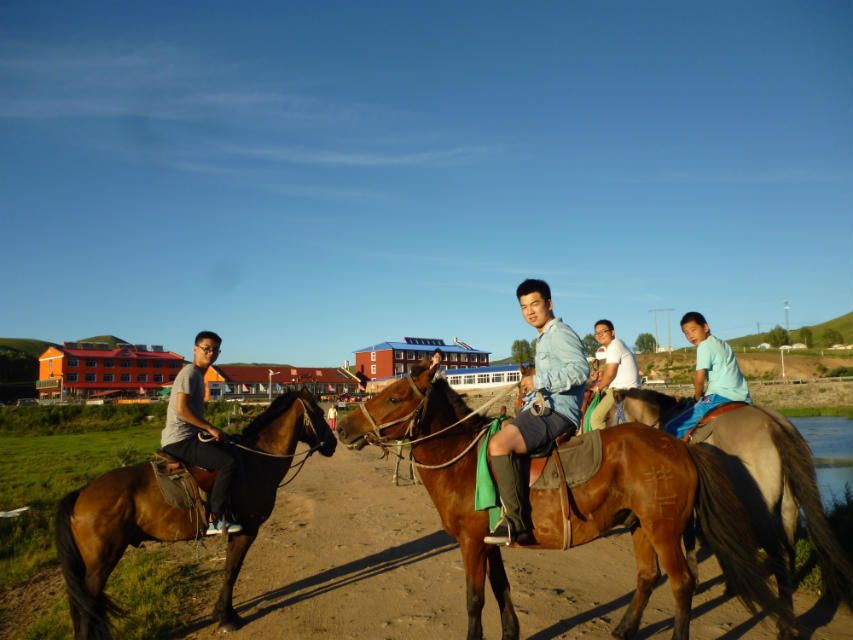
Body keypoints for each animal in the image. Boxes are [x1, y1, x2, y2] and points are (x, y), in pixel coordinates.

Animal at [54, 388, 336, 636]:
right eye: (319, 413)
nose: (333, 442)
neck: (255, 461)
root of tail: (80, 493)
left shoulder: (239, 530)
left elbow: (229, 569)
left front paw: (223, 613)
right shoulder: (248, 529)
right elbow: (232, 571)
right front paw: (226, 617)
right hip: (101, 563)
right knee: (86, 607)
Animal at [336, 362, 788, 640]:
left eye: (395, 398)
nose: (342, 426)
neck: (462, 461)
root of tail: (680, 446)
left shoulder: (470, 543)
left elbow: (474, 599)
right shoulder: (490, 542)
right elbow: (501, 589)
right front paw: (511, 632)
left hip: (663, 529)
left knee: (681, 583)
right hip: (640, 525)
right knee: (647, 577)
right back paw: (625, 628)